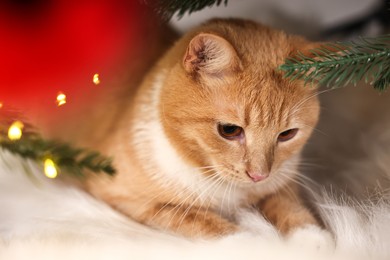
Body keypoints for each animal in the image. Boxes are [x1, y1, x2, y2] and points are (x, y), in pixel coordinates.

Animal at [87, 18, 322, 238]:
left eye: (287, 134)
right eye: (229, 130)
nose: (258, 176)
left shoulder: (283, 181)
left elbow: (292, 209)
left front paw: (313, 241)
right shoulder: (130, 199)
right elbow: (210, 225)